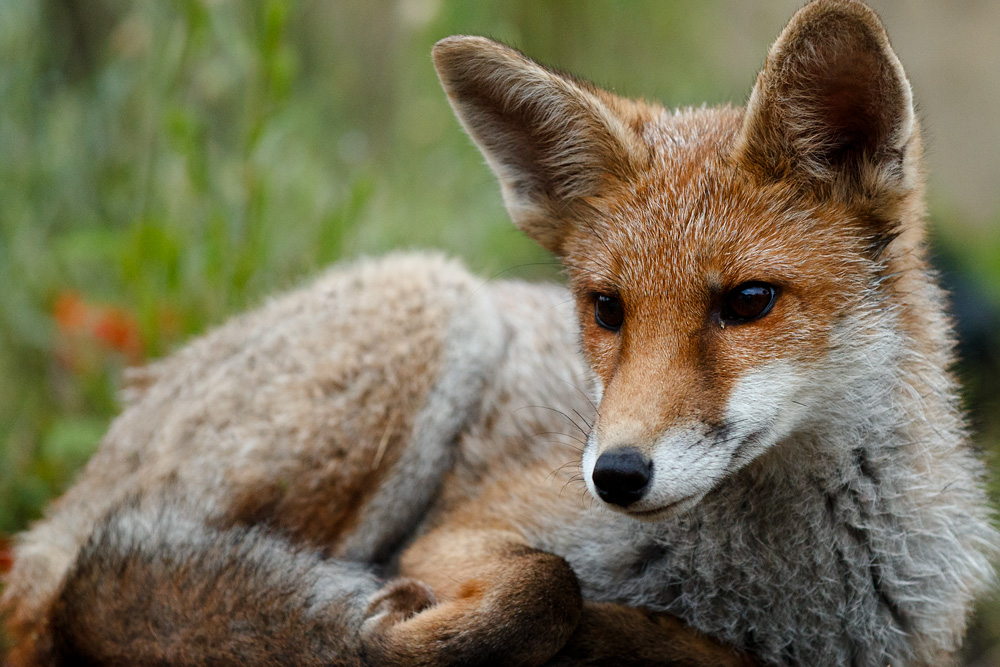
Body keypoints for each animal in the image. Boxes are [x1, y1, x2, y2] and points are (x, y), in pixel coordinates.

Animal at [3, 0, 997, 665]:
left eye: (749, 301)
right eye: (607, 308)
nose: (615, 474)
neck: (775, 593)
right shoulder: (459, 533)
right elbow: (546, 582)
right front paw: (404, 630)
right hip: (431, 310)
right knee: (99, 599)